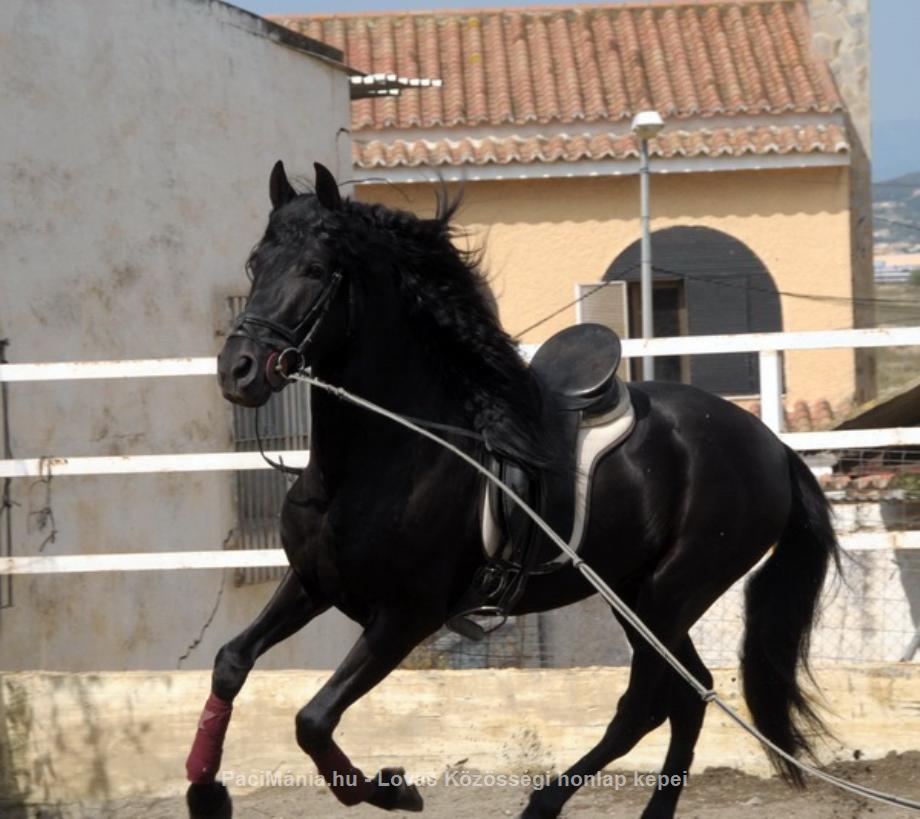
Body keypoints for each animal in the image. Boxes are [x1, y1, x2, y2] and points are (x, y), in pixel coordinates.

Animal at [189, 162, 840, 819]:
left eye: (317, 269)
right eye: (255, 263)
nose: (237, 370)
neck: (376, 460)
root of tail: (770, 446)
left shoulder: (405, 617)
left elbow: (314, 719)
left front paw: (395, 789)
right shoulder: (312, 583)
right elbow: (231, 664)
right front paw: (203, 791)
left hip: (670, 593)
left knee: (644, 705)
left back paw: (544, 802)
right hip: (636, 595)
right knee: (689, 694)